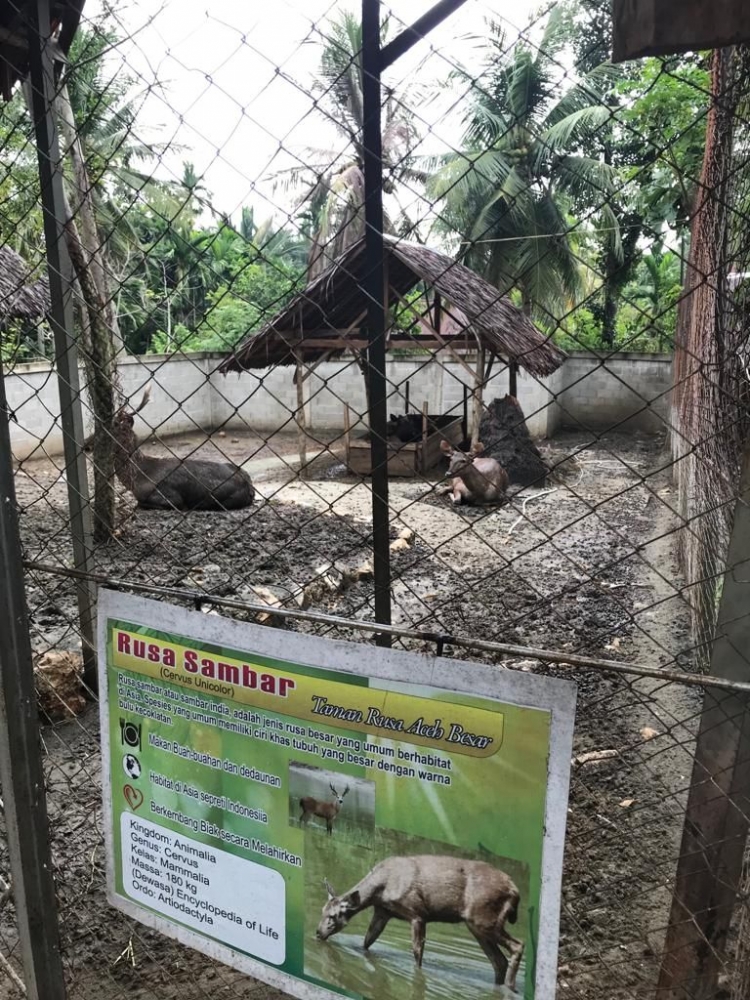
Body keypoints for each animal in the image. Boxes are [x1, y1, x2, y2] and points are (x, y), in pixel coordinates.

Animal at [316, 856, 524, 988]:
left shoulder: (417, 913)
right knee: (499, 961)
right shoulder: (382, 912)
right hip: (476, 926)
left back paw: (510, 987)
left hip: (483, 919)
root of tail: (515, 890)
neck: (381, 889)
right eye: (322, 911)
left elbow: (417, 952)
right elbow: (367, 941)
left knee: (518, 945)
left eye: (333, 916)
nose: (318, 932)